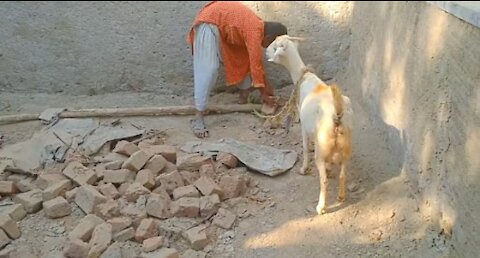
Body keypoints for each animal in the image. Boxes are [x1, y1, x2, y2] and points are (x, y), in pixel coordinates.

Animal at [266, 35, 352, 215]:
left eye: (275, 46)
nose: (264, 51)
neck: (304, 77)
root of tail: (337, 116)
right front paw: (330, 168)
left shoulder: (304, 126)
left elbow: (305, 148)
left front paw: (303, 169)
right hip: (346, 148)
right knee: (343, 174)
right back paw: (341, 197)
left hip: (322, 148)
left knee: (323, 180)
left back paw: (321, 207)